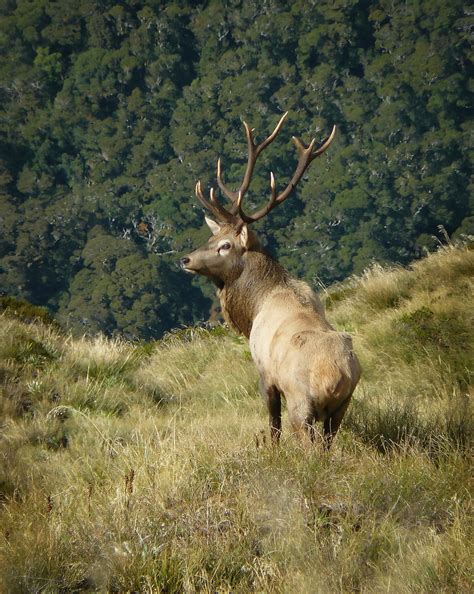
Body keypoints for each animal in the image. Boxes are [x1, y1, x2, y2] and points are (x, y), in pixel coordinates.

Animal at [180, 111, 362, 446]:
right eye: (211, 237)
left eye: (225, 245)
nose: (185, 259)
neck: (255, 306)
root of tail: (334, 377)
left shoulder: (264, 371)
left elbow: (272, 424)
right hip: (343, 405)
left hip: (301, 403)